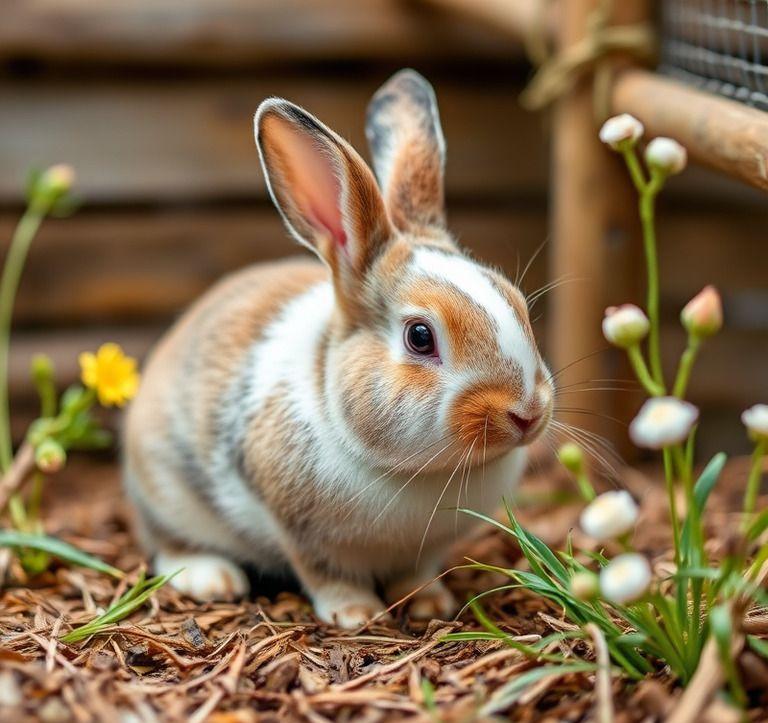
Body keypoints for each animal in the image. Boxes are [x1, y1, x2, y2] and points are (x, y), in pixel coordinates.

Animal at [123, 70, 552, 632]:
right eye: (420, 336)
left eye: (518, 303)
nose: (528, 414)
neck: (418, 473)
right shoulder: (298, 529)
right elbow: (325, 572)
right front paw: (356, 614)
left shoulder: (423, 550)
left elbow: (418, 574)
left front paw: (430, 604)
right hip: (164, 486)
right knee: (166, 543)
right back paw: (212, 578)